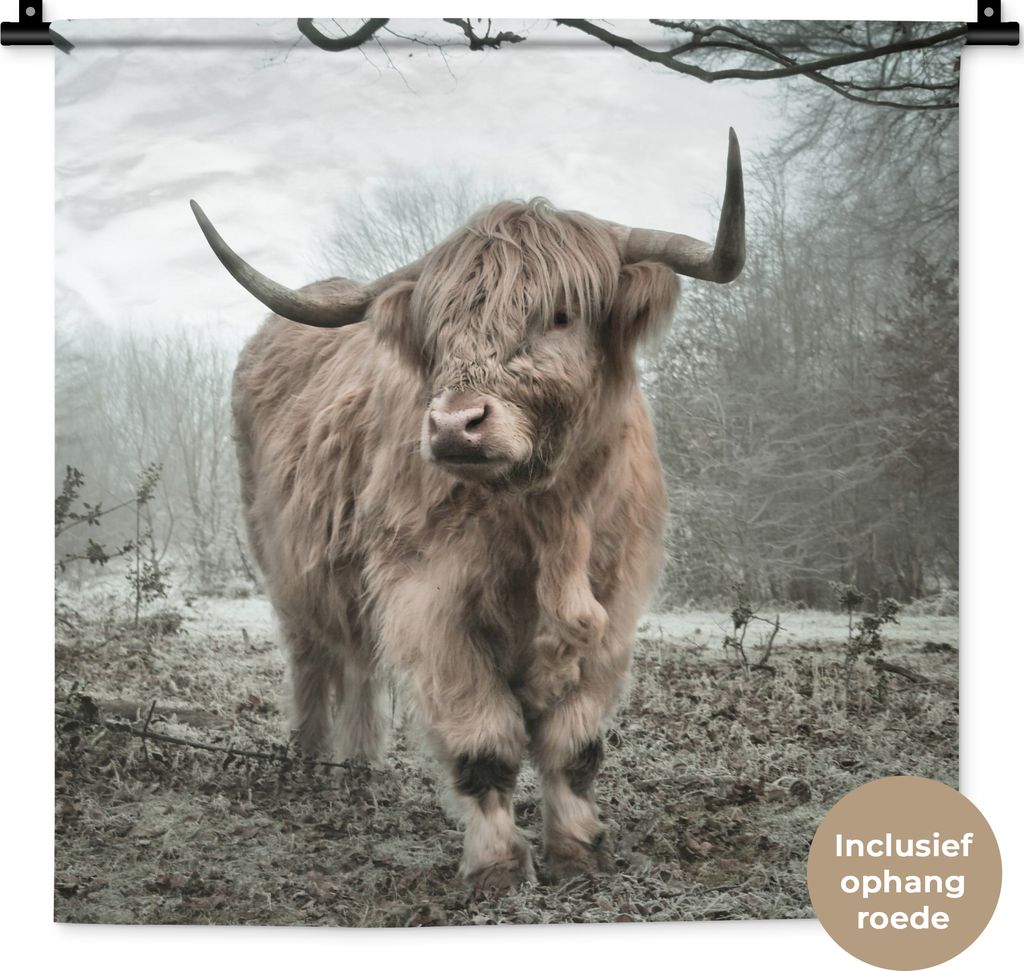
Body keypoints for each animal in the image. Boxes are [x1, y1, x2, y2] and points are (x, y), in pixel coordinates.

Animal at [190, 130, 744, 889]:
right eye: (440, 329)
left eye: (561, 314)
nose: (456, 425)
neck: (548, 519)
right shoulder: (429, 600)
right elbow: (485, 741)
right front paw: (498, 865)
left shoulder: (614, 604)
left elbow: (575, 744)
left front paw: (578, 849)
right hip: (284, 564)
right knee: (313, 658)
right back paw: (311, 762)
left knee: (359, 662)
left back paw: (360, 766)